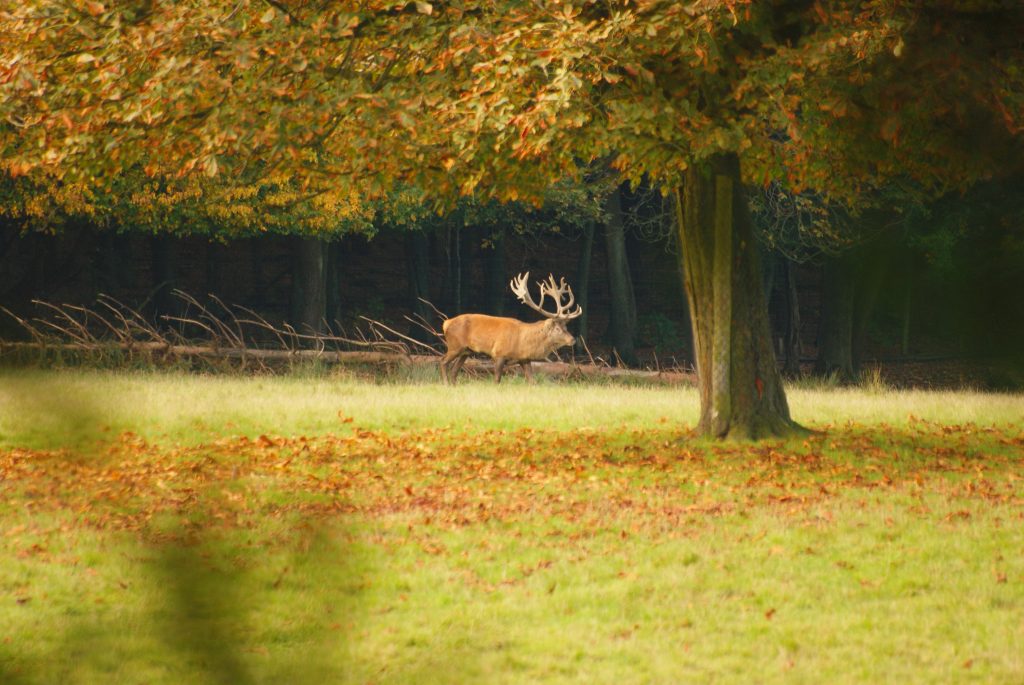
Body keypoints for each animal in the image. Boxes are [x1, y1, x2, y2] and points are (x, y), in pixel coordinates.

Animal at [440, 272, 583, 384]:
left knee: (454, 371)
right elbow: (497, 380)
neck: (523, 342)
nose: (572, 340)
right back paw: (446, 384)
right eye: (557, 329)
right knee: (443, 362)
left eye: (566, 326)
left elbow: (532, 382)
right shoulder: (499, 353)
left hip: (466, 351)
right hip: (454, 345)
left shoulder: (525, 359)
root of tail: (446, 323)